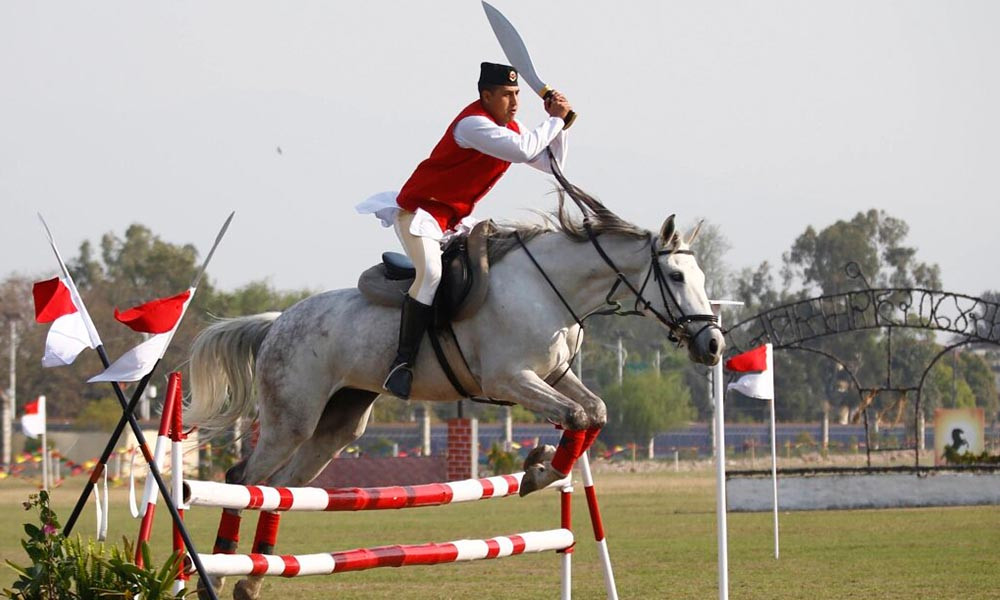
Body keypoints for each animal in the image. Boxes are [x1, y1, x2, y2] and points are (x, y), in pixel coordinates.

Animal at [184, 190, 724, 596]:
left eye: (701, 276)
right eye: (676, 276)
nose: (713, 345)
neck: (549, 289)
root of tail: (277, 322)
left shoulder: (552, 377)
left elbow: (594, 411)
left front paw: (538, 466)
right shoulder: (510, 380)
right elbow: (575, 416)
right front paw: (538, 469)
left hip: (338, 425)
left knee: (282, 489)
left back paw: (251, 581)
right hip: (292, 418)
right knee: (243, 479)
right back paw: (219, 571)